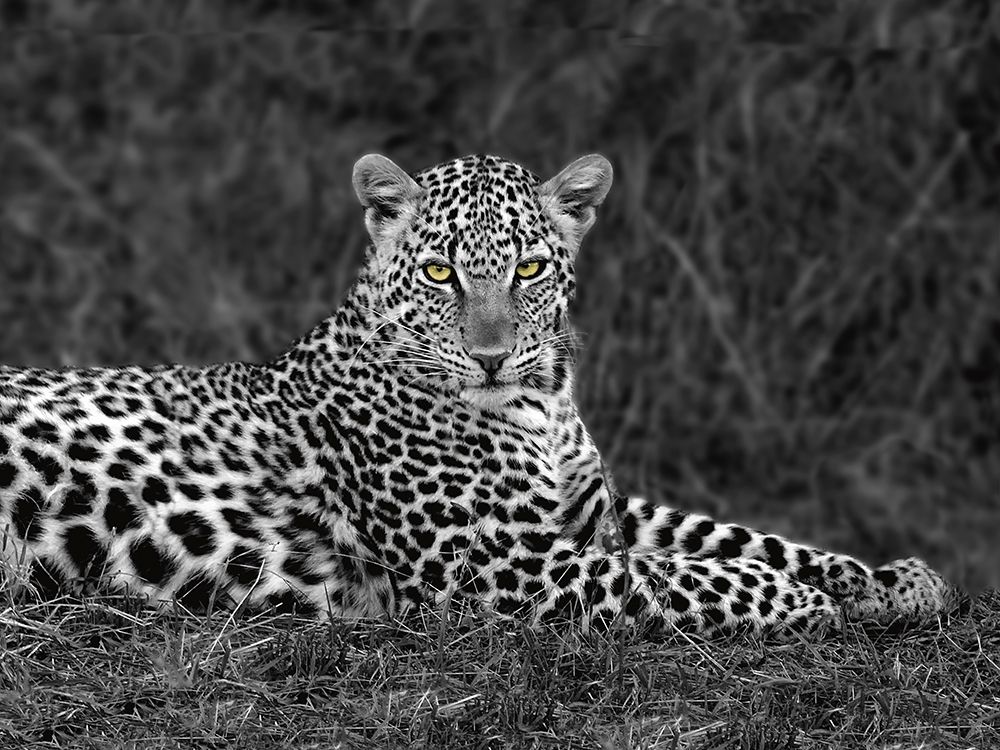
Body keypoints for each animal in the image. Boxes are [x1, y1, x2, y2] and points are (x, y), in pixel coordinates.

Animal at [0, 152, 966, 640]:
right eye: (441, 274)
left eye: (530, 269)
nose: (493, 358)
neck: (543, 404)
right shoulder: (500, 565)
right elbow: (687, 577)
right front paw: (810, 600)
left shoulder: (592, 512)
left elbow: (721, 535)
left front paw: (892, 579)